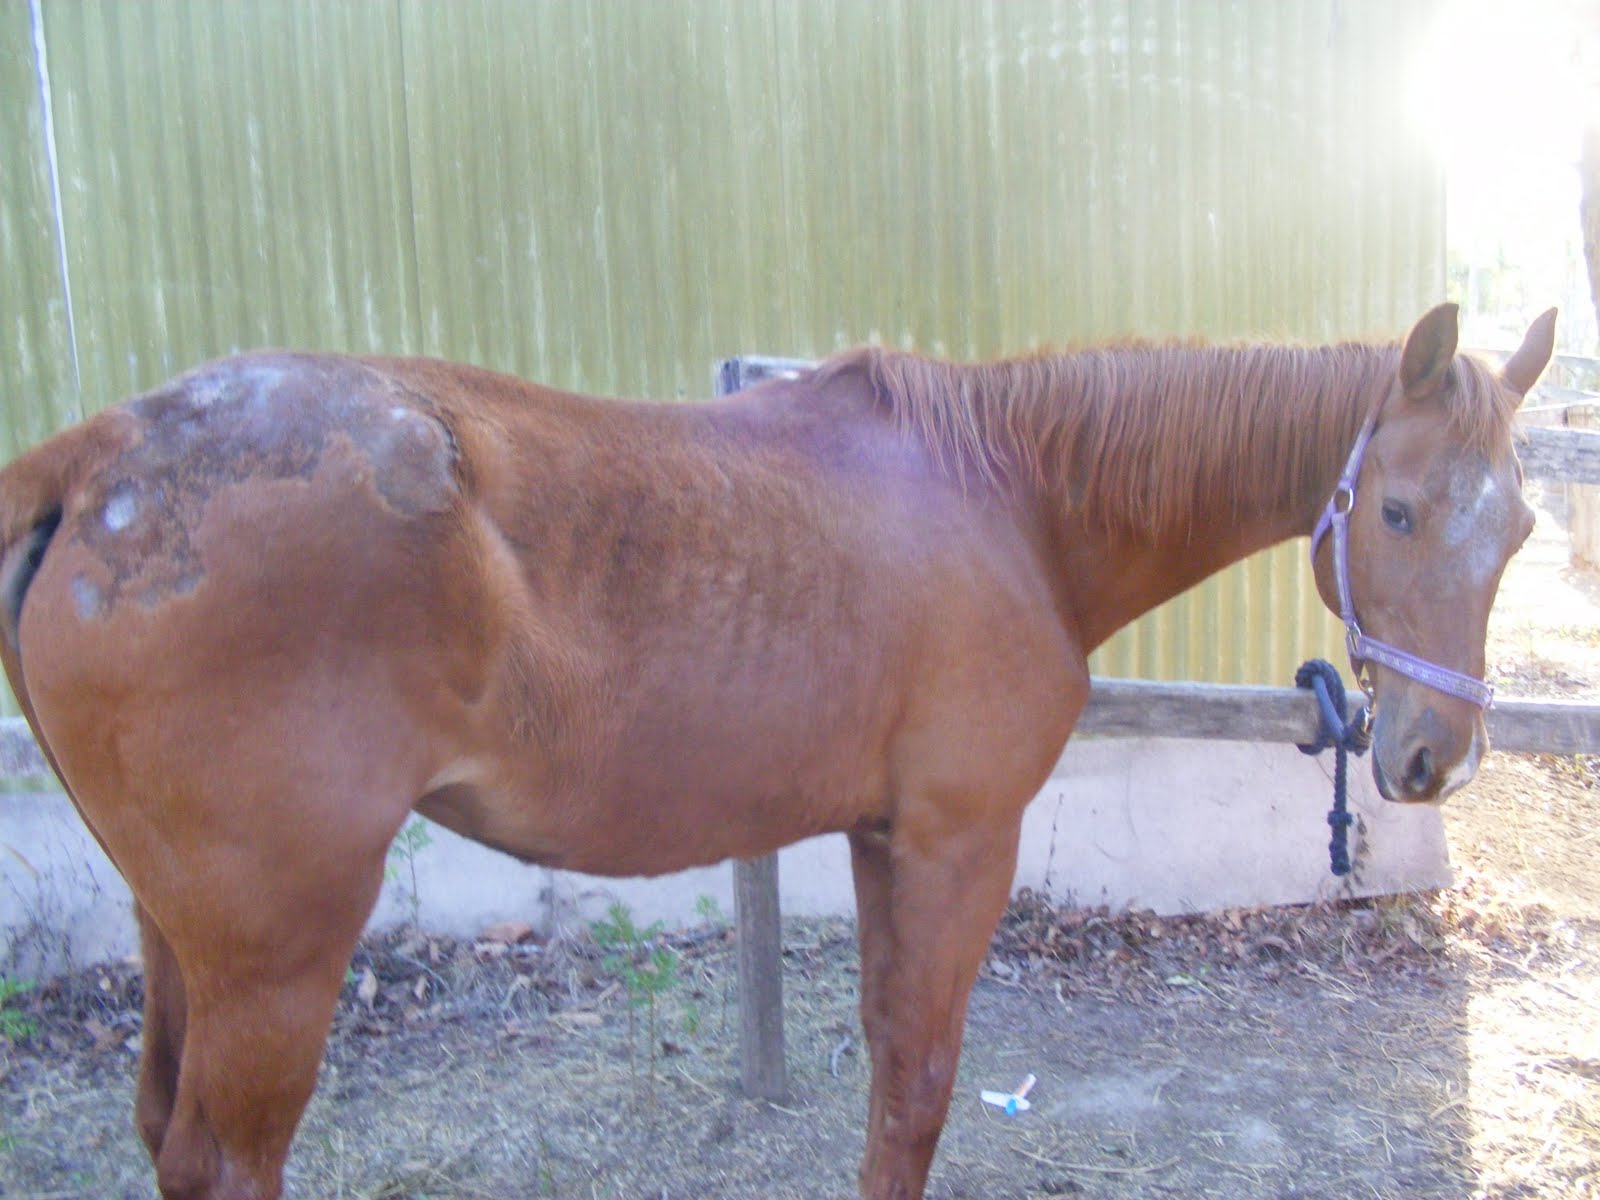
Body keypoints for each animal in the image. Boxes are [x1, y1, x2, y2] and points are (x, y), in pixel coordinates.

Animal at [0, 302, 1552, 1199]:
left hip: (182, 931)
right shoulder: (957, 841)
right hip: (277, 953)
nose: (1432, 760)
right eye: (1398, 511)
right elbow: (919, 1088)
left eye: (1522, 526)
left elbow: (886, 1071)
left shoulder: (877, 837)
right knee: (225, 1159)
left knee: (163, 1131)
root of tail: (99, 457)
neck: (1011, 499)